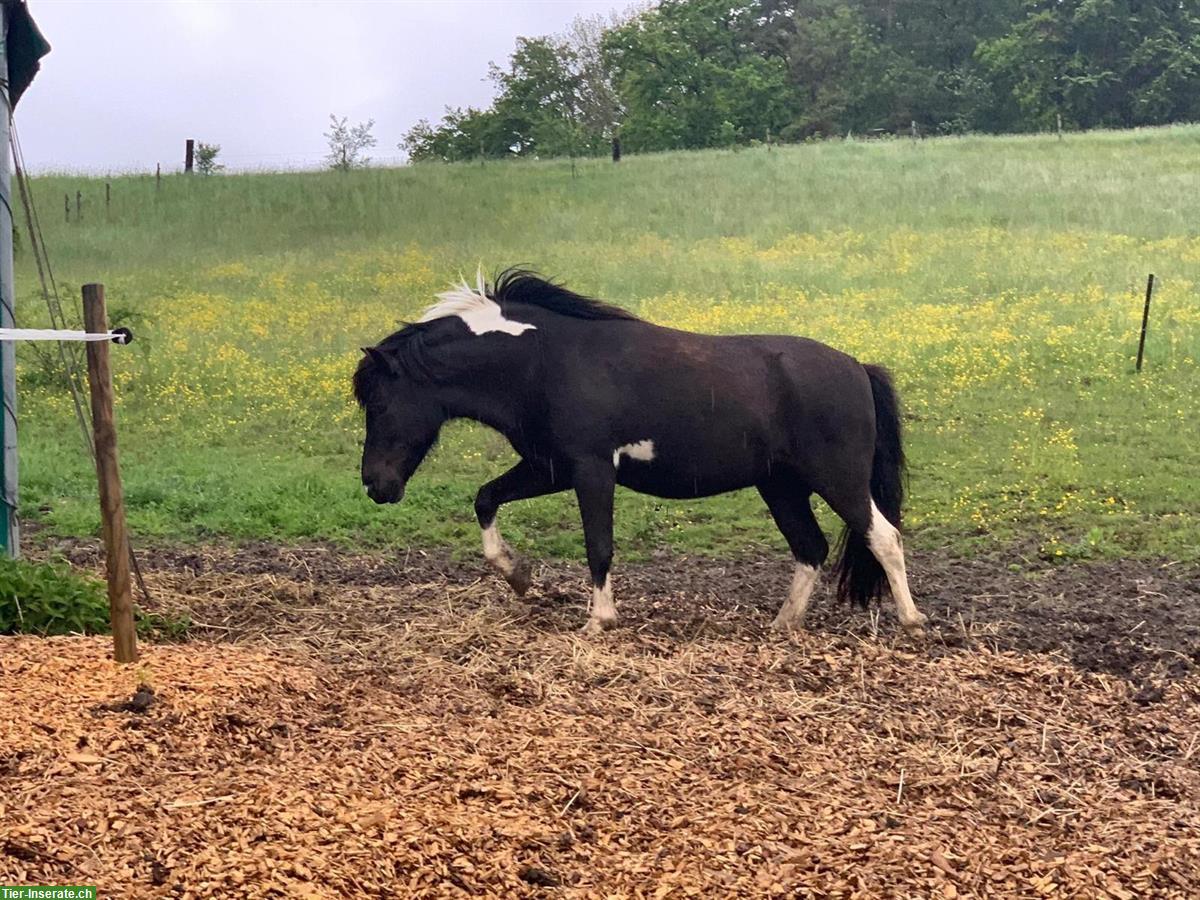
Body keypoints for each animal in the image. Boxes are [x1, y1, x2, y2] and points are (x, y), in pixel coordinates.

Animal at [355, 271, 926, 638]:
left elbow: (599, 546)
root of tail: (857, 367)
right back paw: (784, 623)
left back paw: (912, 622)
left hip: (838, 479)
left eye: (379, 402)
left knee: (882, 536)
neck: (543, 361)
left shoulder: (591, 470)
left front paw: (599, 619)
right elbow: (485, 499)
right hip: (780, 486)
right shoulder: (549, 468)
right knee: (810, 547)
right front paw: (518, 577)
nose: (375, 485)